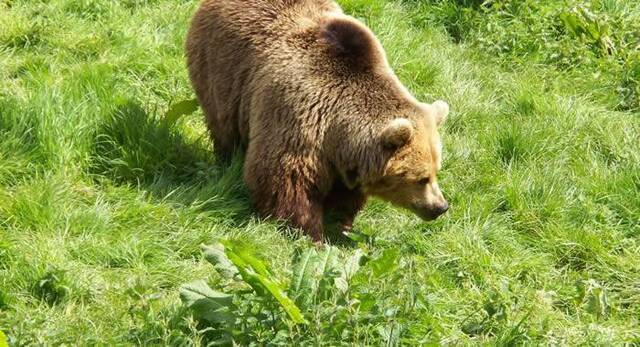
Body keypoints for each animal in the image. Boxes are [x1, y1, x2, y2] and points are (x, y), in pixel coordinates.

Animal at [185, 0, 450, 242]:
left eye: (436, 170)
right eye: (421, 178)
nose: (440, 207)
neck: (338, 130)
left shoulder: (344, 161)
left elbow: (345, 194)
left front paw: (340, 224)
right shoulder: (297, 117)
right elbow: (285, 180)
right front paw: (310, 233)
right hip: (222, 71)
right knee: (225, 127)